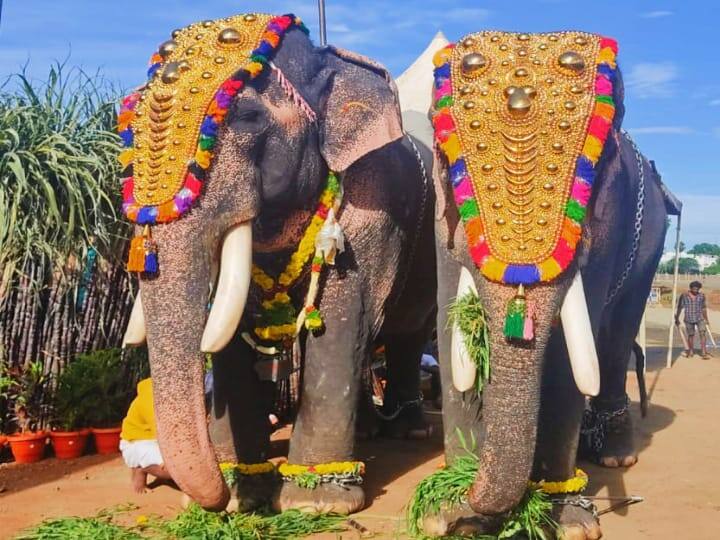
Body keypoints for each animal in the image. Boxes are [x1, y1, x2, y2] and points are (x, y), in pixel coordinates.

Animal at [120, 13, 435, 514]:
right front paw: (239, 492)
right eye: (124, 126)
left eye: (248, 118)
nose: (211, 499)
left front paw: (315, 502)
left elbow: (343, 314)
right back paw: (368, 430)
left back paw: (409, 431)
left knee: (408, 332)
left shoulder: (378, 196)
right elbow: (231, 327)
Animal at [421, 31, 670, 538]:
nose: (470, 493)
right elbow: (451, 333)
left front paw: (569, 520)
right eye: (445, 149)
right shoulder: (441, 221)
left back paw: (615, 457)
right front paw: (445, 514)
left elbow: (565, 359)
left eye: (597, 162)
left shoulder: (606, 224)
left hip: (651, 249)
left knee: (615, 337)